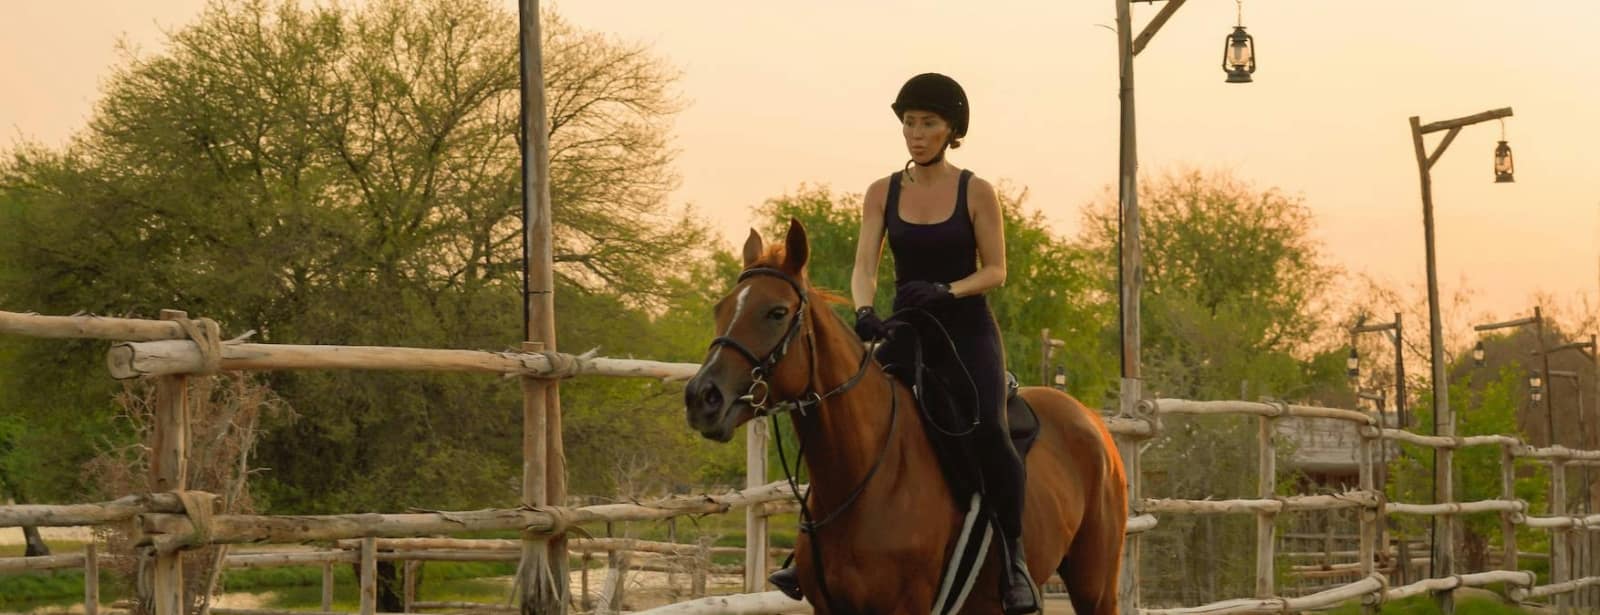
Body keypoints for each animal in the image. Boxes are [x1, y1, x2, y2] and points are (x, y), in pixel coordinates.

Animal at [684, 219, 1126, 615]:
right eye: (721, 307)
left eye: (776, 312)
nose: (702, 398)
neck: (865, 475)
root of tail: (1093, 424)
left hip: (1095, 588)